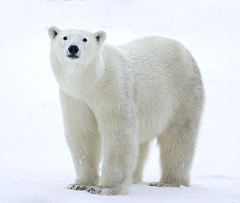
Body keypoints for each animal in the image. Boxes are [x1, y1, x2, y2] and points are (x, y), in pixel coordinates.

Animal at [48, 26, 204, 195]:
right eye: (64, 37)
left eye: (85, 39)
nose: (73, 48)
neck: (92, 82)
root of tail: (185, 50)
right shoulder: (75, 98)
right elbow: (82, 132)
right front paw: (79, 184)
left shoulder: (113, 89)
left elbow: (118, 131)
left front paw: (104, 188)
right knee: (140, 144)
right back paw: (134, 178)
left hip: (182, 92)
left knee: (178, 137)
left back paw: (168, 182)